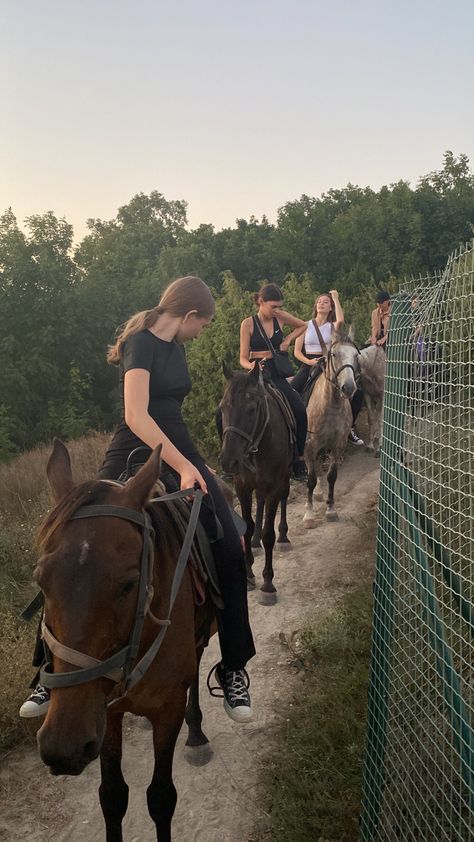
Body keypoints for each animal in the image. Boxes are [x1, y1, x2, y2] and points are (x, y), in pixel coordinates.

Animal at [36, 440, 213, 840]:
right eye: (41, 580)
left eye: (130, 583)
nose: (62, 746)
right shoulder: (105, 712)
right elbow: (112, 796)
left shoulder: (168, 711)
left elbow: (161, 798)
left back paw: (196, 732)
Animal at [218, 360, 292, 604]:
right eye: (223, 408)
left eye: (251, 409)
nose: (228, 461)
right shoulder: (242, 486)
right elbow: (247, 527)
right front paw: (249, 574)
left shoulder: (274, 486)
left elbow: (269, 533)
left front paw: (268, 583)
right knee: (259, 502)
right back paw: (256, 542)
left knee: (284, 497)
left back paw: (284, 537)